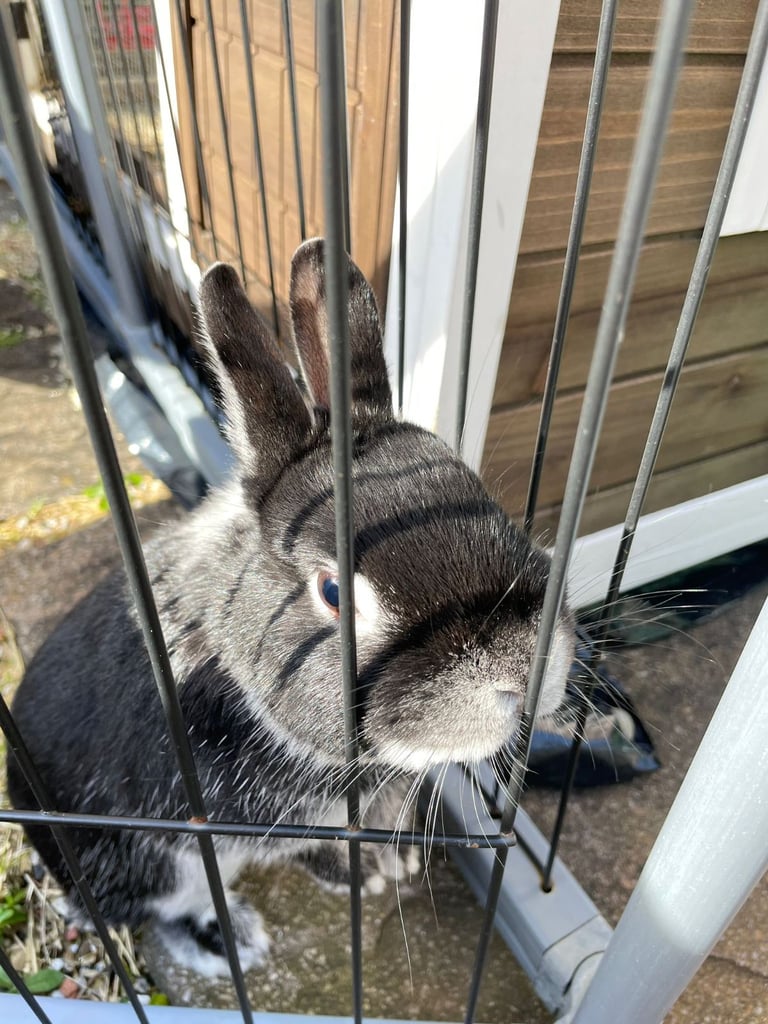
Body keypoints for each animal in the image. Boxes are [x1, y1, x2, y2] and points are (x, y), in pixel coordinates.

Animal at [7, 239, 575, 976]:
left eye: (483, 496)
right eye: (333, 592)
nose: (525, 669)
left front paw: (393, 861)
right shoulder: (253, 819)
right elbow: (309, 846)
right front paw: (367, 876)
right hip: (152, 865)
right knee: (159, 910)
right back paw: (228, 943)